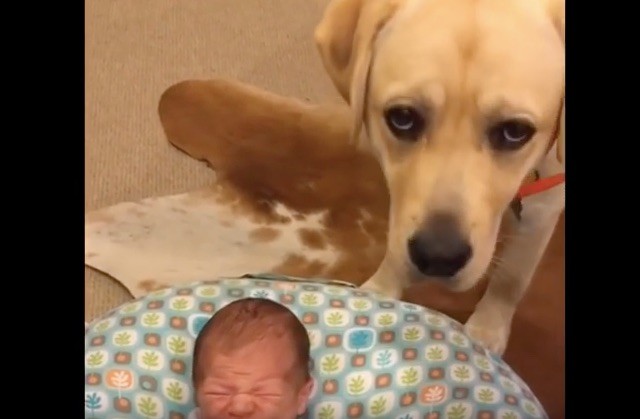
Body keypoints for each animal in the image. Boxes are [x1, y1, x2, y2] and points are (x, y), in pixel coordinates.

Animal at [316, 0, 564, 354]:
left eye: (515, 131)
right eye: (402, 118)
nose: (438, 256)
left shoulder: (544, 206)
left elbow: (512, 278)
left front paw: (487, 330)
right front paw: (381, 290)